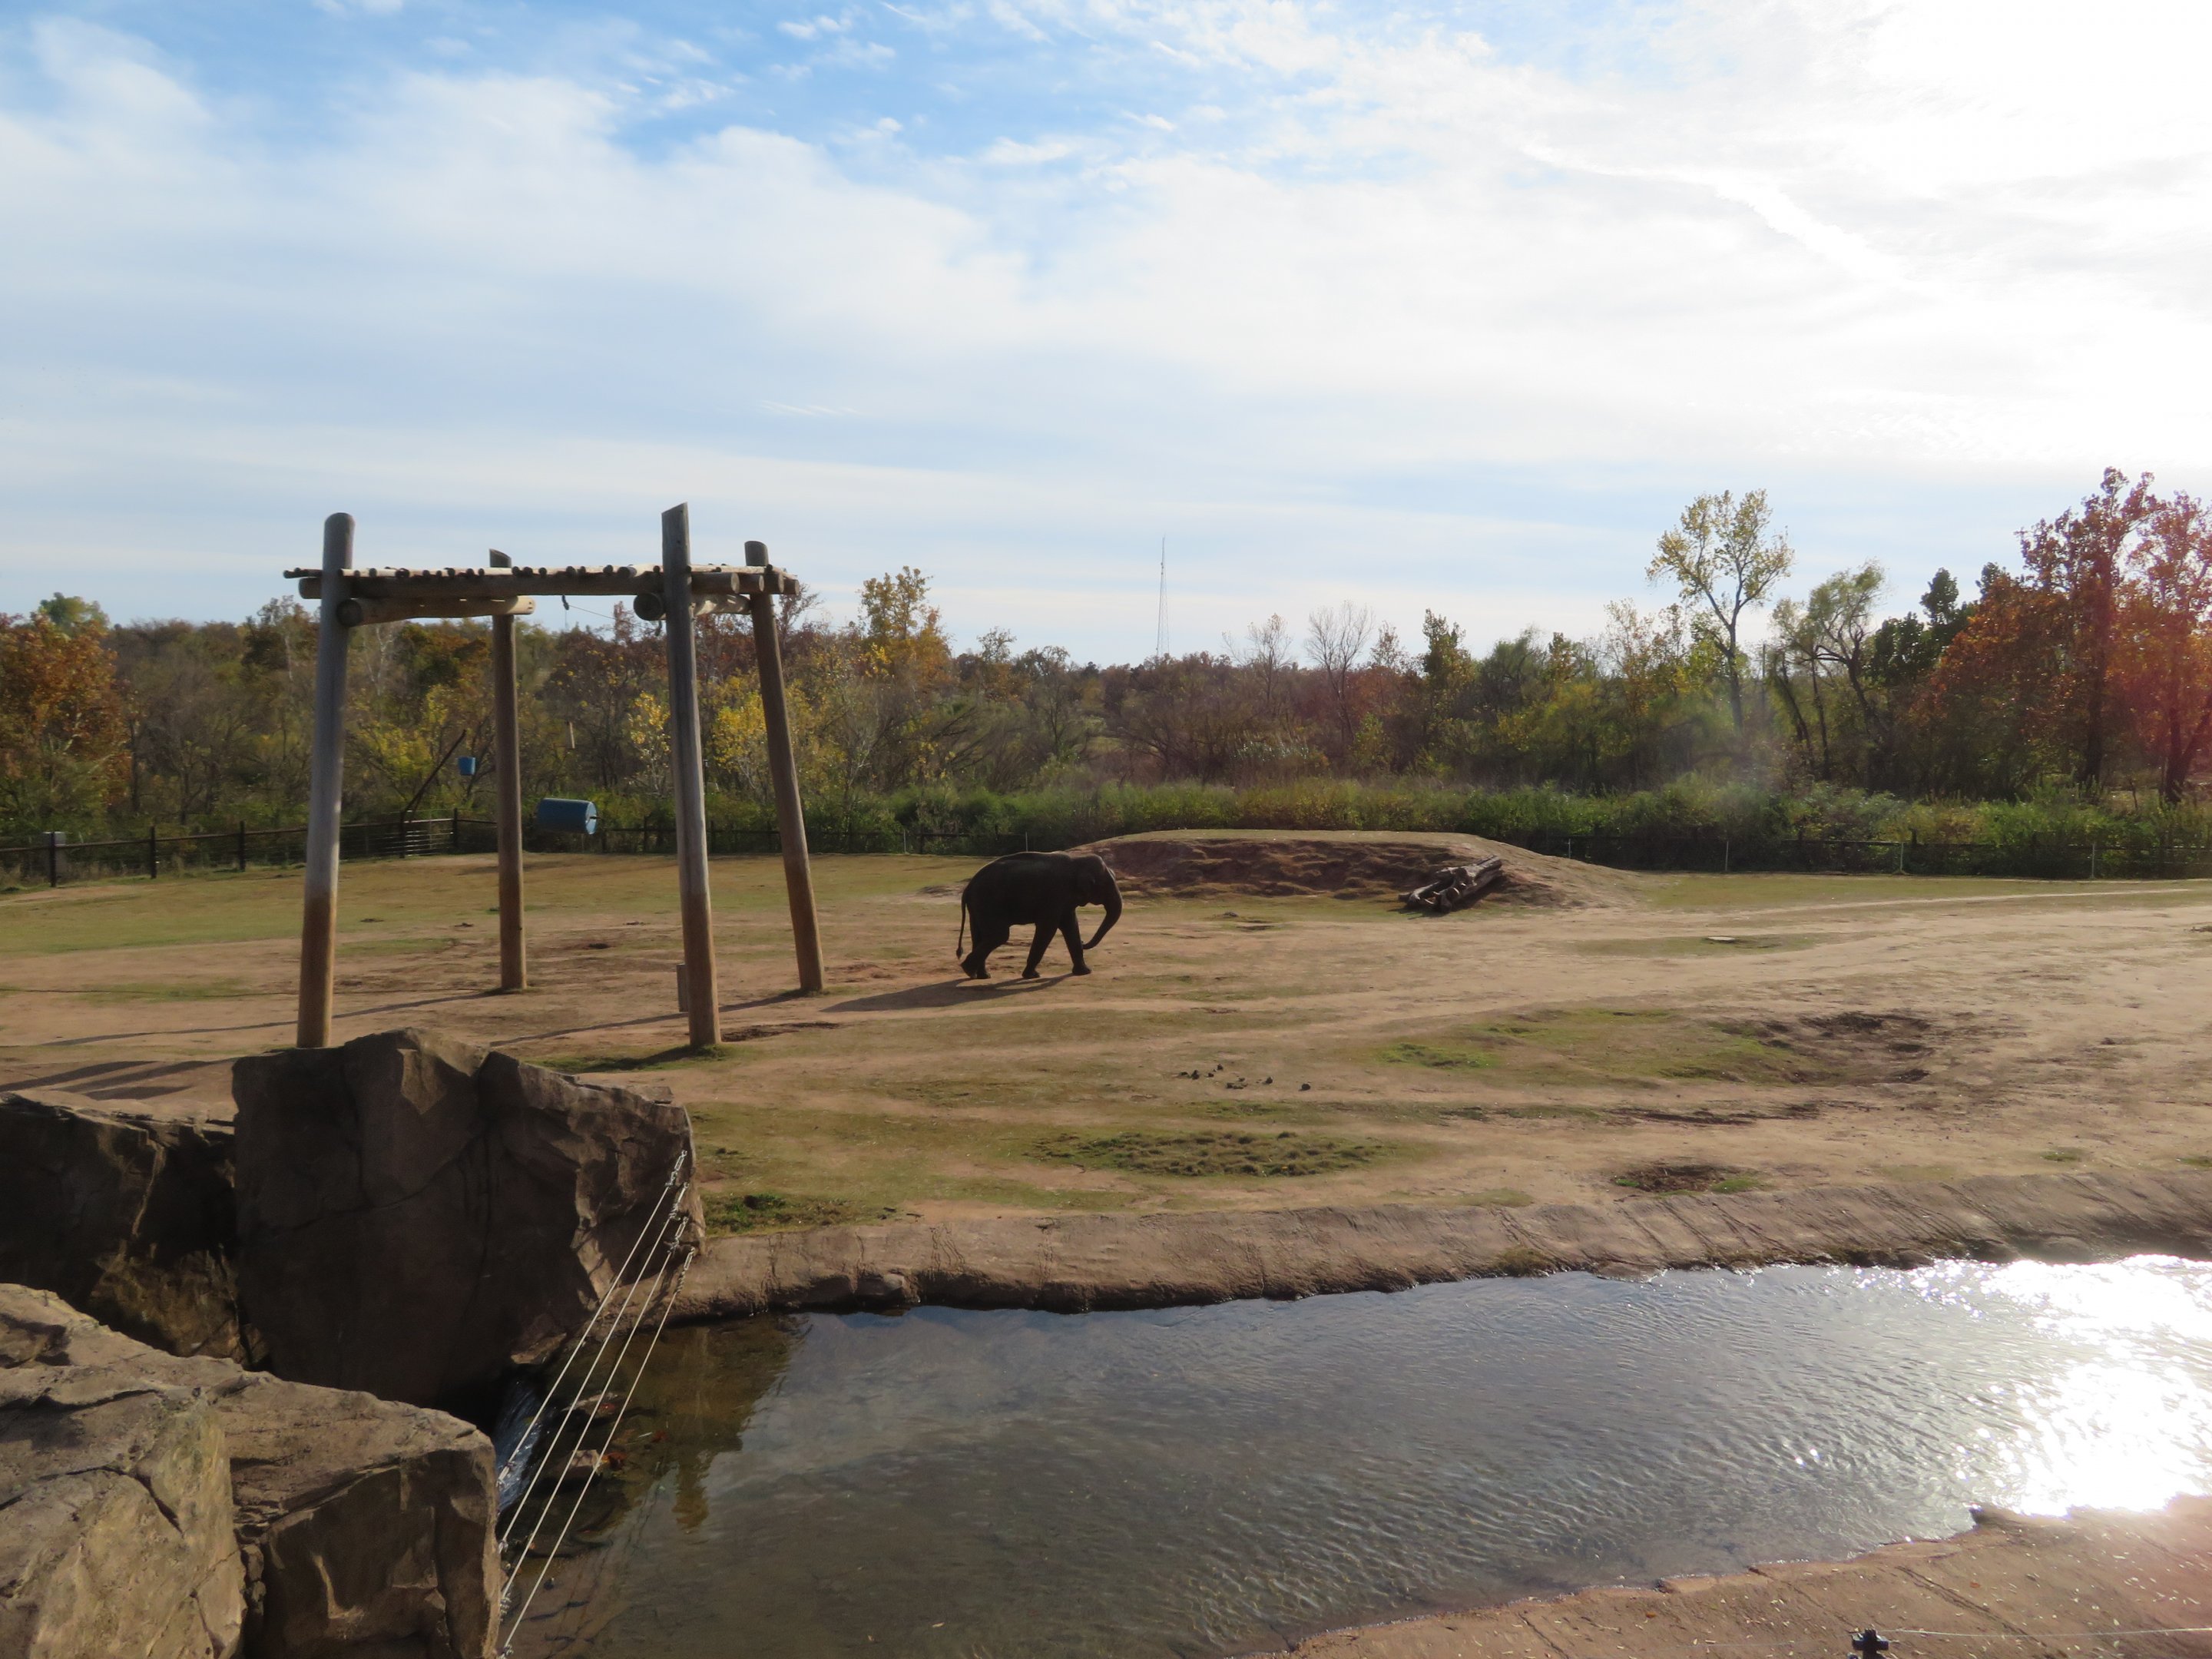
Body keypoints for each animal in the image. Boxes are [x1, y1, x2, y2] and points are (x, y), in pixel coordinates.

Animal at [956, 851, 1123, 980]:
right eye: (1107, 888)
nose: (1084, 942)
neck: (1077, 861)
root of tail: (968, 887)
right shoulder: (1054, 896)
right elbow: (1048, 929)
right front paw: (1032, 976)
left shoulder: (1064, 902)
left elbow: (1071, 926)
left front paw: (1084, 972)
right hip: (988, 903)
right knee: (999, 935)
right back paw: (968, 970)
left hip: (978, 906)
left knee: (979, 935)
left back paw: (981, 976)